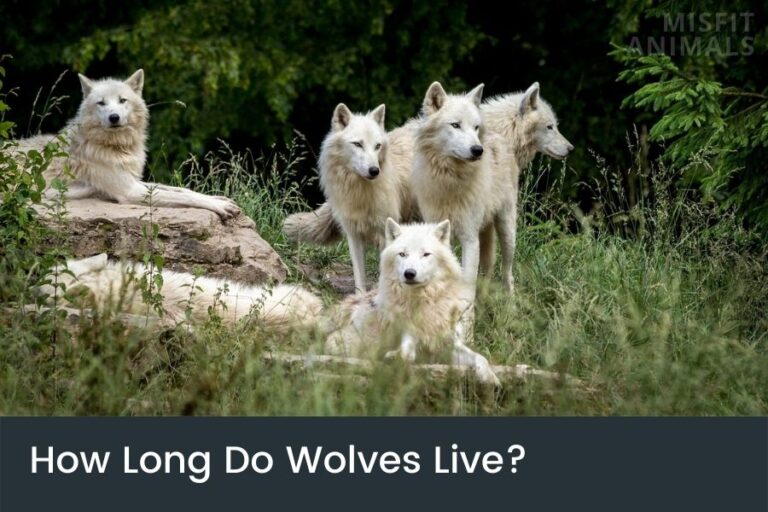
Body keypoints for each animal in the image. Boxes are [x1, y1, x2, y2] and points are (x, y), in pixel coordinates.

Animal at [12, 69, 240, 219]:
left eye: (122, 100)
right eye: (101, 103)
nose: (114, 117)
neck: (117, 148)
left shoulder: (136, 181)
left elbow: (183, 191)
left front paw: (221, 199)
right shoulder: (130, 191)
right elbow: (183, 197)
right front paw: (218, 206)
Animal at [325, 219, 499, 384]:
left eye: (426, 254)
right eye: (402, 254)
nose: (409, 273)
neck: (424, 302)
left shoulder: (450, 345)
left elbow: (480, 358)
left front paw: (490, 377)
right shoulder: (409, 335)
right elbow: (408, 353)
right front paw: (394, 357)